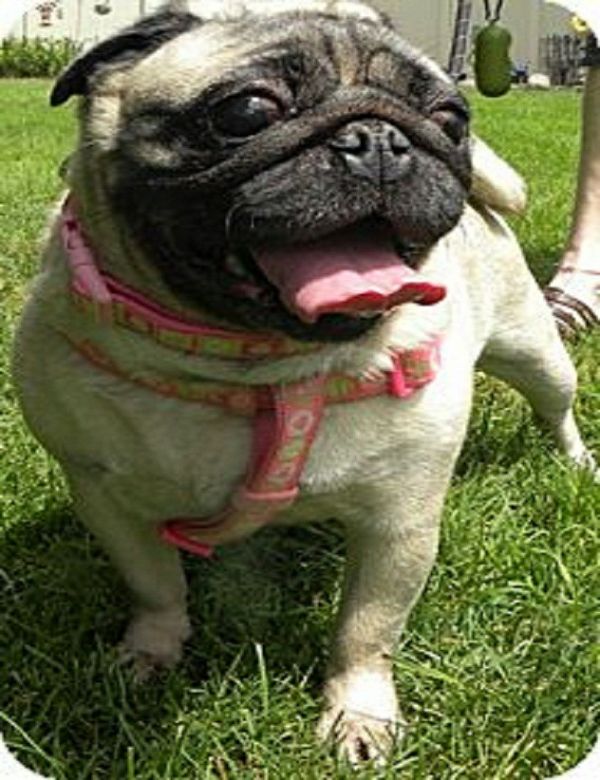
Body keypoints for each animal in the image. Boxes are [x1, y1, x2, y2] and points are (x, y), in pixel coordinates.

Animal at [11, 0, 596, 765]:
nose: (379, 138)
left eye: (449, 120)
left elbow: (366, 633)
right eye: (247, 111)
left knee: (555, 408)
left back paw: (577, 464)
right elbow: (156, 588)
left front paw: (360, 718)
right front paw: (150, 654)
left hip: (534, 351)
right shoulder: (106, 501)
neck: (252, 364)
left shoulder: (399, 525)